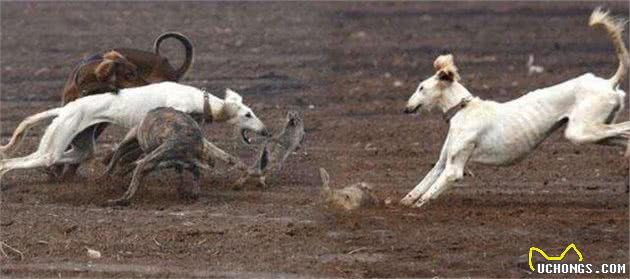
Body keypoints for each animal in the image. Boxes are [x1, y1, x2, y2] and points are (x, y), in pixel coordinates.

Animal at [0, 81, 270, 182]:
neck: (196, 99)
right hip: (54, 147)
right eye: (248, 114)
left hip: (79, 148)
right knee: (13, 162)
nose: (266, 131)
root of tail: (67, 107)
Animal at [55, 32, 196, 182]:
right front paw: (56, 170)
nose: (151, 86)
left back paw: (117, 160)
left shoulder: (97, 124)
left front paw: (66, 174)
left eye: (136, 71)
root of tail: (172, 70)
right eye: (130, 74)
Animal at [402, 7, 628, 208]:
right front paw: (405, 202)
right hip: (594, 132)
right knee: (622, 135)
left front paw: (418, 207)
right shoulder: (443, 161)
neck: (464, 109)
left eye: (421, 87)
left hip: (581, 131)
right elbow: (422, 184)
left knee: (626, 128)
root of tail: (609, 83)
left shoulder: (454, 169)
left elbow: (429, 193)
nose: (406, 108)